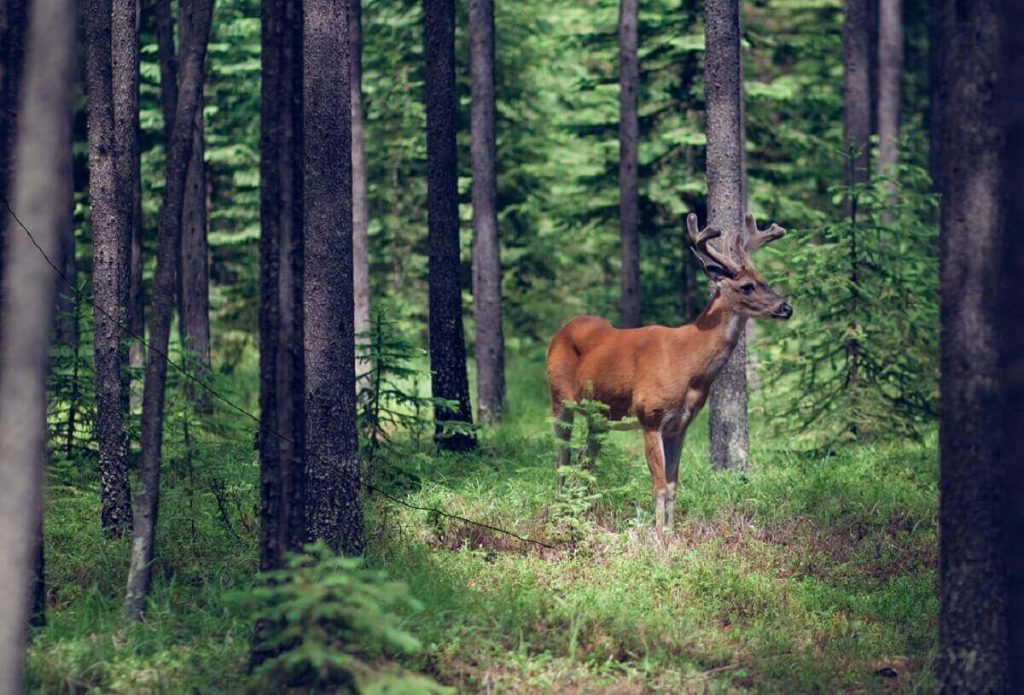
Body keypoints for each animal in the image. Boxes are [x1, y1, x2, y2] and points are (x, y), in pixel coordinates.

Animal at [544, 210, 790, 532]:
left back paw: (585, 510)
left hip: (600, 414)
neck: (688, 364)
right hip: (559, 398)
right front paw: (659, 535)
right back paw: (561, 513)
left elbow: (673, 485)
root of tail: (560, 330)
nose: (786, 308)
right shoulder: (650, 416)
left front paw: (672, 532)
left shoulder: (680, 424)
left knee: (587, 458)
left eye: (765, 280)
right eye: (747, 285)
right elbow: (659, 485)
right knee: (562, 456)